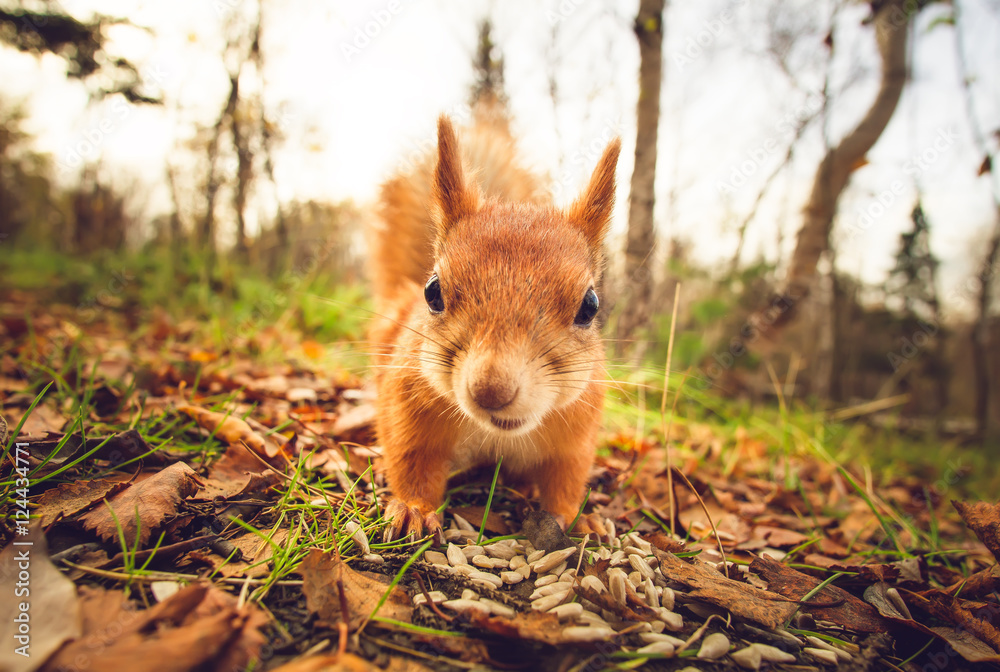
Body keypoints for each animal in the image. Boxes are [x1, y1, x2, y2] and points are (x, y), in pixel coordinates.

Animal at [368, 111, 616, 540]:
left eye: (589, 306)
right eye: (433, 292)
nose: (490, 391)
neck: (495, 434)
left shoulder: (575, 434)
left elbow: (566, 480)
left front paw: (576, 518)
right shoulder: (408, 409)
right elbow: (411, 460)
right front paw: (413, 509)